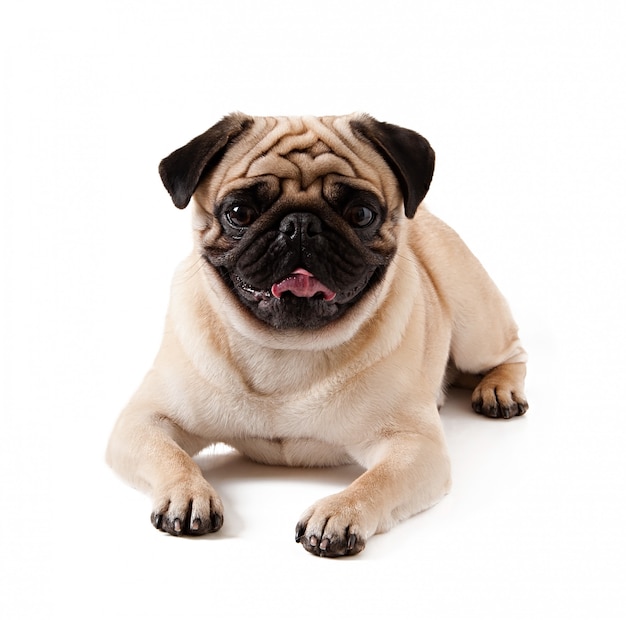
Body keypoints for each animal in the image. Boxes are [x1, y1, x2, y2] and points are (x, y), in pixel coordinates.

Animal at [107, 112, 528, 556]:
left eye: (362, 214)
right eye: (239, 212)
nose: (299, 225)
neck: (285, 348)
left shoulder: (415, 444)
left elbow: (376, 480)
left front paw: (339, 513)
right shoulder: (143, 421)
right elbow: (170, 456)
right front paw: (187, 493)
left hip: (475, 321)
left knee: (511, 352)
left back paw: (499, 390)